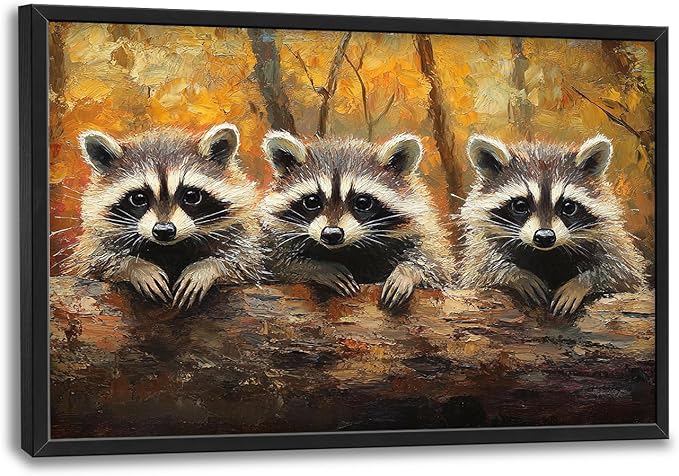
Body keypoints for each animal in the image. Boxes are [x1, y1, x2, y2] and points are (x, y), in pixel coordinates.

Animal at [64, 123, 267, 309]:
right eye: (138, 198)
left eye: (191, 196)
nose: (164, 230)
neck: (170, 248)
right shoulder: (96, 243)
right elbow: (96, 261)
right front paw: (135, 266)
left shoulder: (239, 233)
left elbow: (245, 262)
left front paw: (207, 267)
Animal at [258, 131, 455, 308]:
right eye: (312, 201)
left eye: (362, 202)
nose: (331, 234)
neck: (346, 249)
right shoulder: (274, 237)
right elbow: (276, 263)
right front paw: (317, 267)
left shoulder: (421, 229)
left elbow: (437, 266)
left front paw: (407, 271)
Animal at [459, 134, 646, 315]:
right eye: (520, 206)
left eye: (568, 207)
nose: (544, 237)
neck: (546, 253)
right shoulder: (485, 245)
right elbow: (482, 270)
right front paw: (516, 275)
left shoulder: (609, 241)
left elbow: (622, 272)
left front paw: (581, 283)